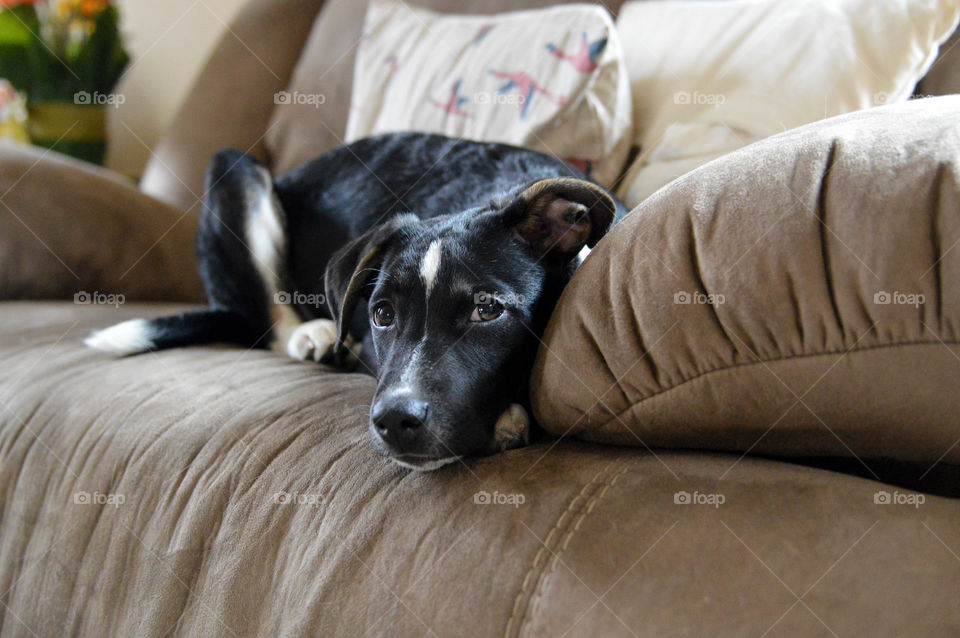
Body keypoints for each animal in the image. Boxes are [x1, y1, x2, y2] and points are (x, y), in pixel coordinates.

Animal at [86, 132, 632, 472]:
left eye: (488, 311)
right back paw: (316, 335)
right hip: (235, 168)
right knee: (272, 324)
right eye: (382, 315)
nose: (394, 420)